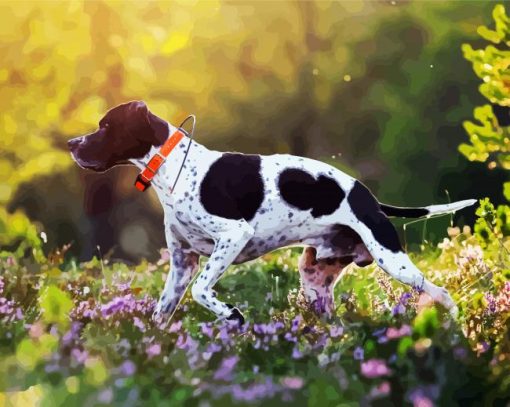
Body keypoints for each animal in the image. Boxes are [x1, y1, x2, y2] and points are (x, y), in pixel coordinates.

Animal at [68, 102, 478, 326]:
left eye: (106, 126)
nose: (72, 143)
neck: (175, 168)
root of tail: (370, 199)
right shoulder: (181, 265)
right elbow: (160, 313)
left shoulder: (232, 237)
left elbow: (203, 290)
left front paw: (232, 315)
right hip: (314, 281)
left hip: (394, 262)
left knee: (440, 292)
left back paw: (454, 325)